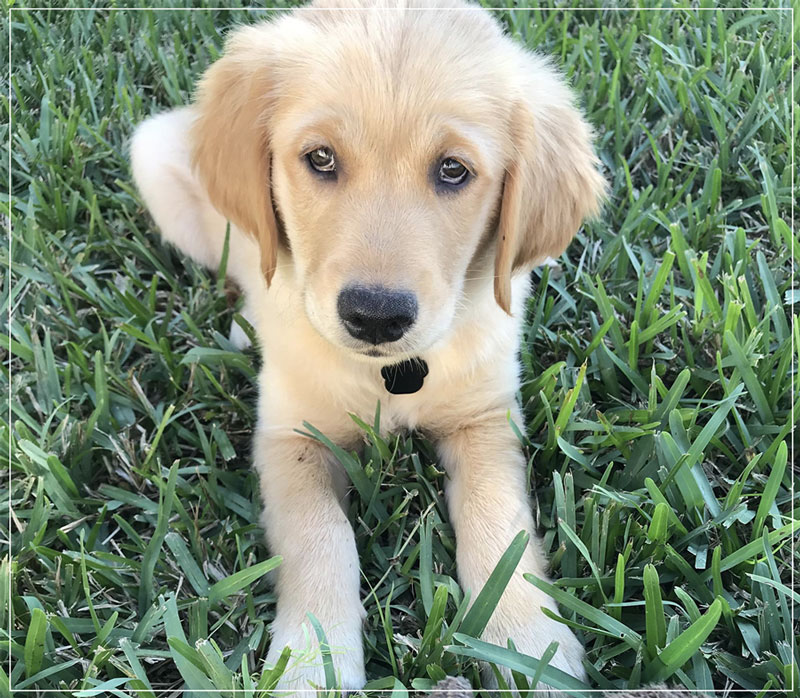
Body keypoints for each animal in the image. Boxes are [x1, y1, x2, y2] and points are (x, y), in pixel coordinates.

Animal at [133, 0, 608, 692]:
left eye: (453, 170)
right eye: (321, 158)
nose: (375, 317)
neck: (394, 374)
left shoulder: (484, 419)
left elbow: (500, 524)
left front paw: (530, 648)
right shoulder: (291, 436)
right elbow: (321, 535)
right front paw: (312, 662)